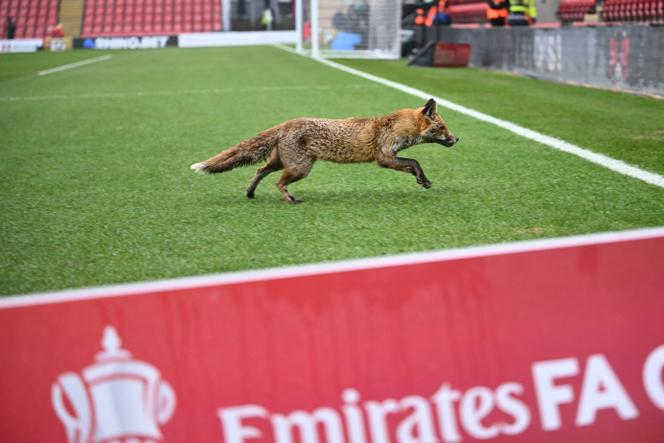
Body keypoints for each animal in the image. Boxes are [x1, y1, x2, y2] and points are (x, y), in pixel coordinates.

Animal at [190, 98, 459, 204]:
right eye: (442, 128)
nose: (456, 138)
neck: (396, 125)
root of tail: (288, 123)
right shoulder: (384, 157)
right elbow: (414, 161)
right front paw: (423, 180)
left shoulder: (390, 157)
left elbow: (413, 163)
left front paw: (422, 180)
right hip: (300, 168)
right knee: (278, 183)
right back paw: (290, 200)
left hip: (282, 163)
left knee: (258, 171)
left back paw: (250, 193)